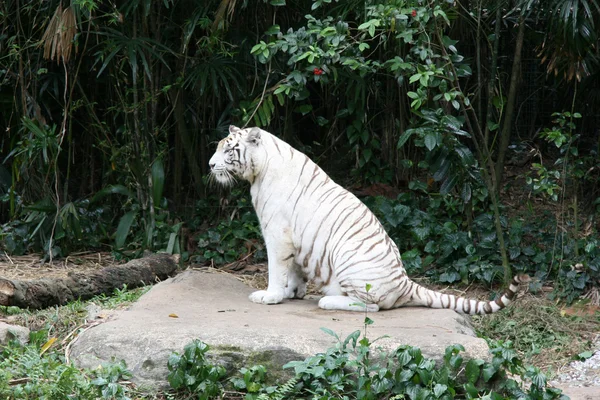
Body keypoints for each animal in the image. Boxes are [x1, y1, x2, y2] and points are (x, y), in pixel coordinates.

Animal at [209, 126, 528, 314]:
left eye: (228, 150)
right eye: (219, 147)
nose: (210, 165)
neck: (259, 170)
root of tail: (405, 283)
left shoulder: (277, 234)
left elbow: (277, 268)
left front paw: (270, 295)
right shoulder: (295, 240)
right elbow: (295, 270)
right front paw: (291, 293)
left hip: (348, 258)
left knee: (370, 307)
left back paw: (327, 300)